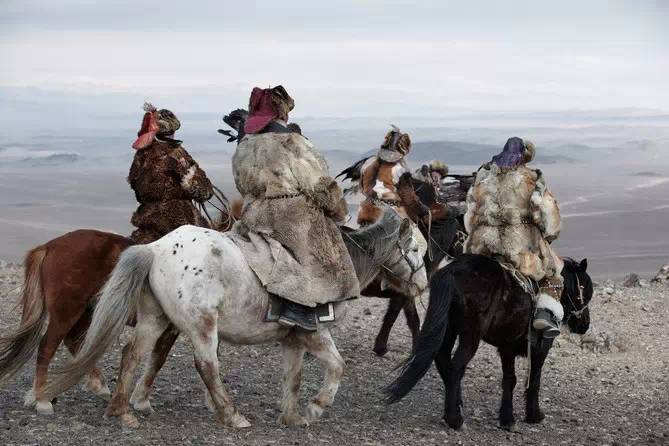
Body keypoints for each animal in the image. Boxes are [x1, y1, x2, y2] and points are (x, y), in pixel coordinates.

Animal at [384, 254, 592, 432]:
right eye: (585, 289)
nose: (585, 325)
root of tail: (452, 272)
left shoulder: (507, 348)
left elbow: (509, 380)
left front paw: (507, 419)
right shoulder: (540, 348)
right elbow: (534, 380)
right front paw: (534, 415)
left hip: (449, 328)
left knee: (443, 360)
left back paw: (456, 408)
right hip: (470, 336)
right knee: (456, 366)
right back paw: (455, 419)